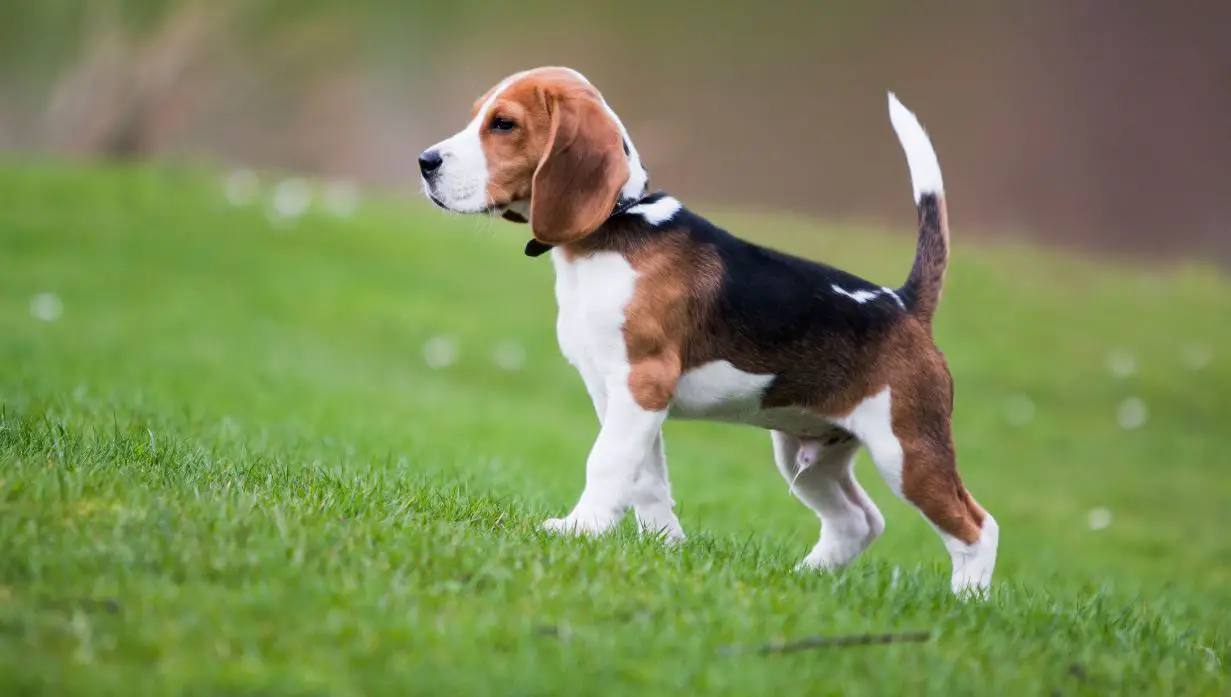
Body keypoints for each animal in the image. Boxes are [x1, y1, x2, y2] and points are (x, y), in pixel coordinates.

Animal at [418, 66, 994, 600]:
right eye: (477, 115)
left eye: (503, 124)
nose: (425, 162)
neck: (616, 224)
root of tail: (903, 303)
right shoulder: (619, 396)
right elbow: (645, 477)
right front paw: (665, 545)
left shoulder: (642, 383)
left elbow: (606, 462)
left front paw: (580, 529)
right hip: (806, 453)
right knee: (858, 521)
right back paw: (803, 578)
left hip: (907, 450)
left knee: (976, 527)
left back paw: (967, 603)